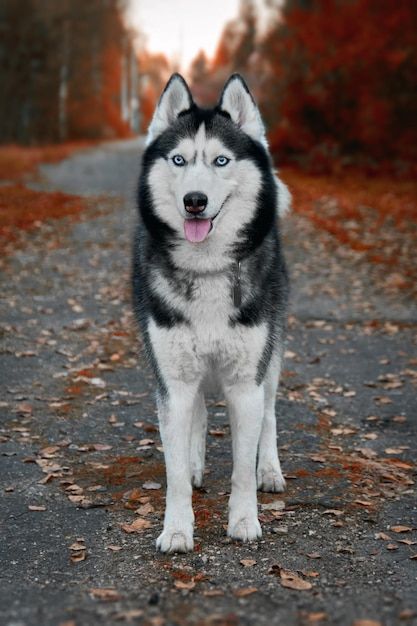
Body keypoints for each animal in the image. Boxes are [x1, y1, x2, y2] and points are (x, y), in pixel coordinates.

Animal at [132, 72, 290, 552]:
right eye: (179, 160)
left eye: (221, 160)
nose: (195, 201)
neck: (208, 269)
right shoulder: (173, 381)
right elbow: (175, 472)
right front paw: (177, 528)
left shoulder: (246, 383)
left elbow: (241, 467)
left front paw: (243, 520)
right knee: (199, 411)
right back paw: (197, 462)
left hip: (270, 360)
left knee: (270, 415)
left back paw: (270, 470)